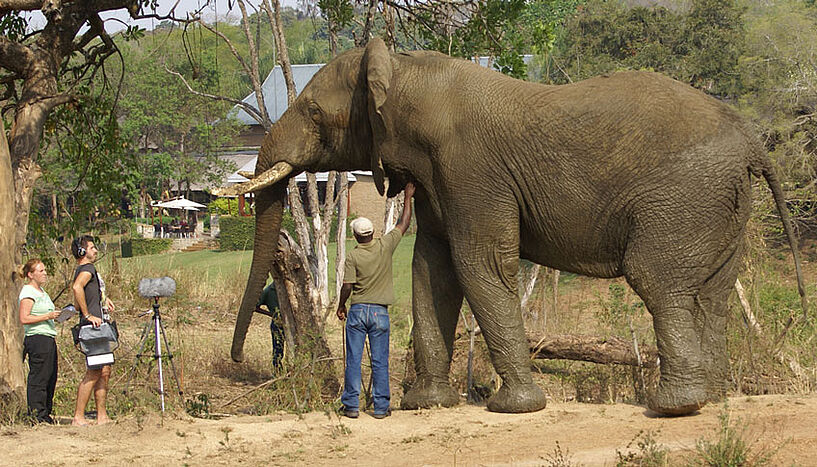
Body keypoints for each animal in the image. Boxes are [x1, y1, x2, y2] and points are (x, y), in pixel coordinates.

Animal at [220, 38, 808, 414]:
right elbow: (432, 269)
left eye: (315, 114)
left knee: (658, 282)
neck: (405, 69)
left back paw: (673, 407)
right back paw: (717, 397)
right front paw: (426, 405)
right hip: (721, 206)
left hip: (684, 199)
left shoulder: (471, 170)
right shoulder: (442, 179)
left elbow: (479, 265)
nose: (240, 362)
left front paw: (513, 407)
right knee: (713, 292)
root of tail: (752, 140)